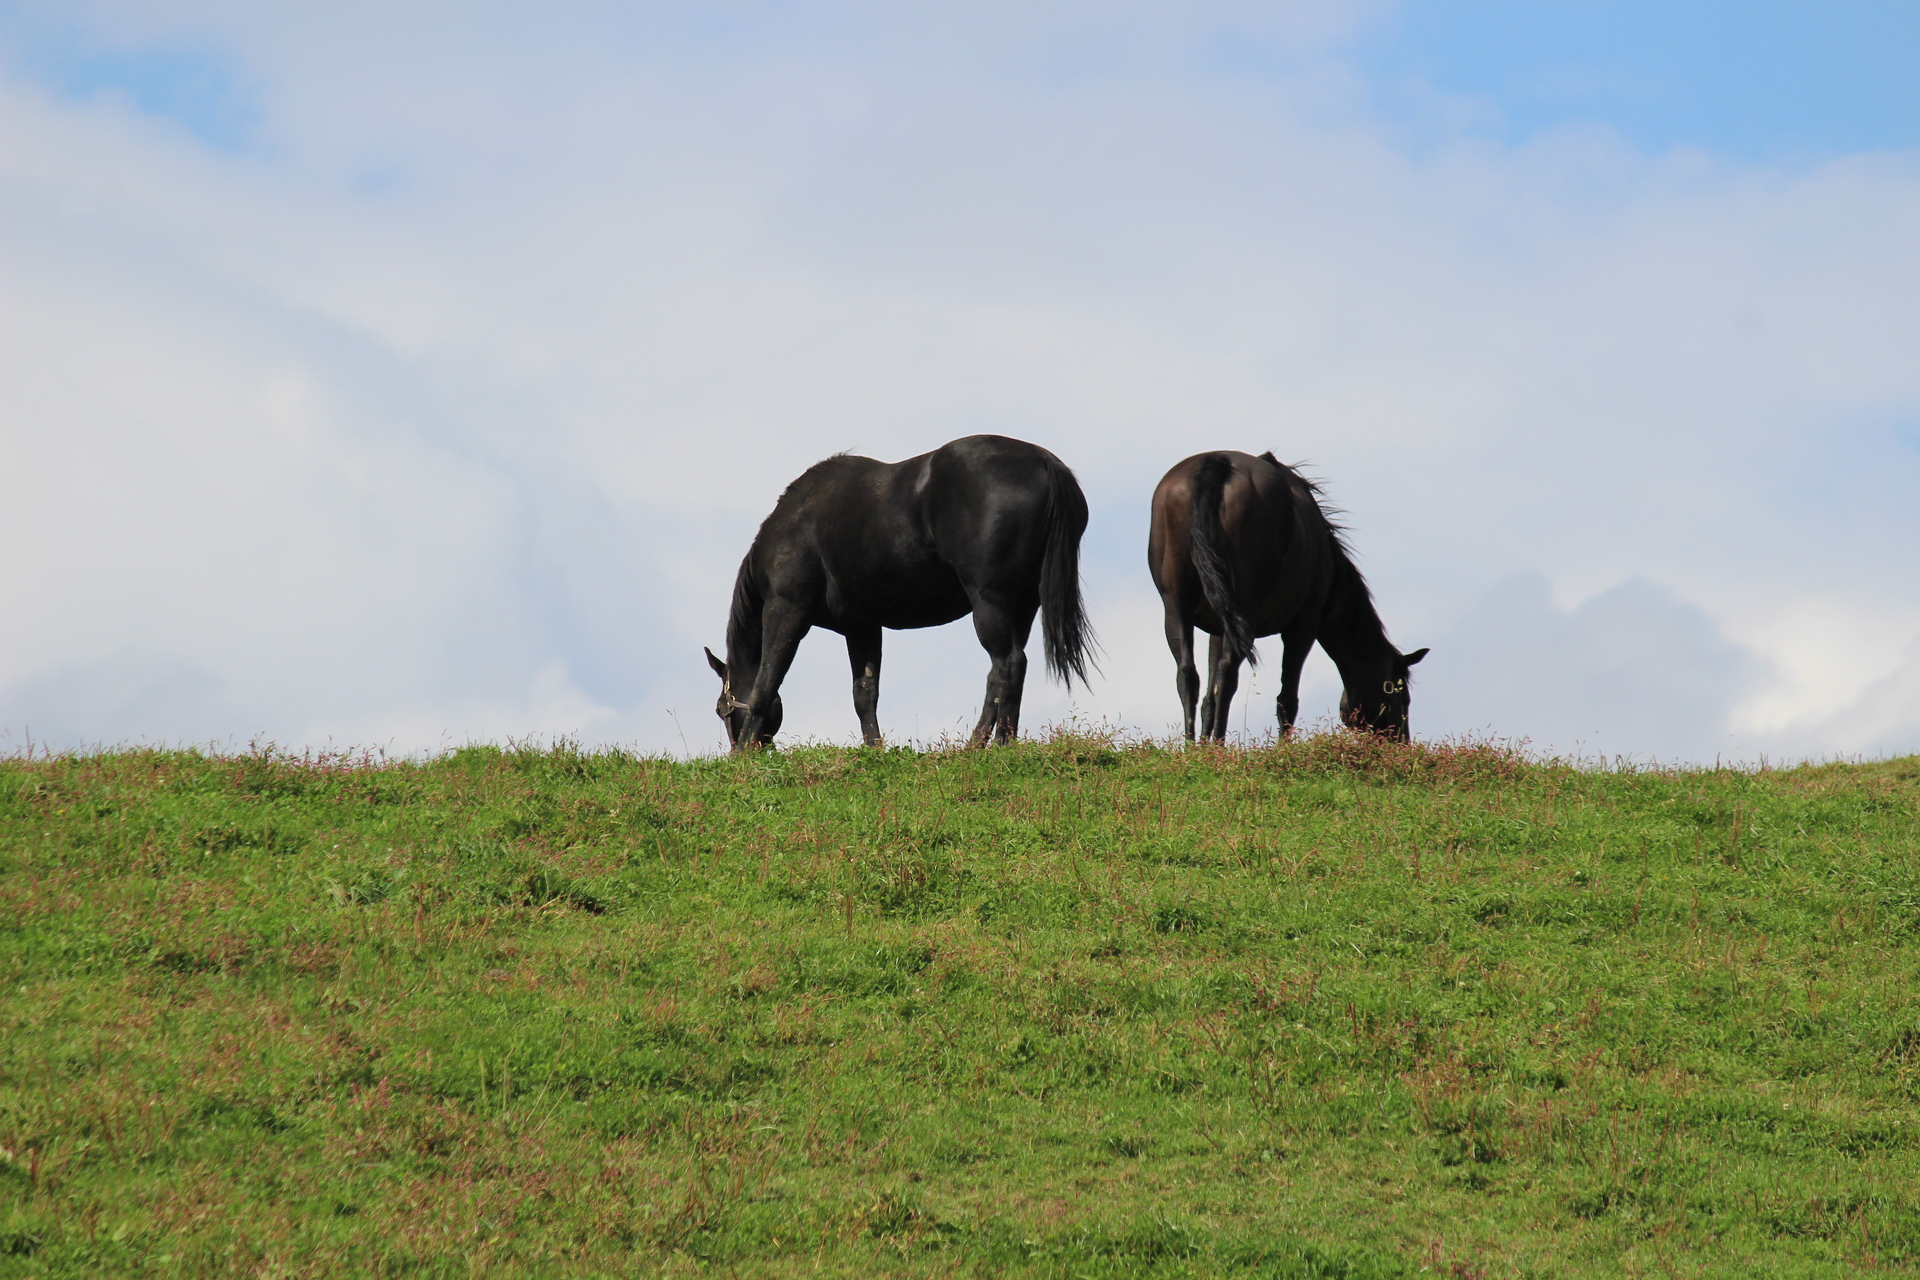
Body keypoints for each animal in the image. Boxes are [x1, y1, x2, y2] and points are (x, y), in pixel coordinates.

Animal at [706, 435, 1098, 752]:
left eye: (721, 710)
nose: (743, 746)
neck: (795, 526)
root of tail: (1044, 463)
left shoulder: (786, 611)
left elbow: (765, 683)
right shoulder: (861, 627)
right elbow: (864, 693)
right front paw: (874, 749)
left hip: (989, 600)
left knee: (1006, 665)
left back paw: (983, 744)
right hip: (1024, 604)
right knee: (1008, 671)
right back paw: (998, 742)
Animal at [1136, 454, 1428, 744]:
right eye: (1399, 694)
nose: (1401, 743)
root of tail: (1217, 462)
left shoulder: (1218, 628)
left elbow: (1210, 693)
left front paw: (1205, 745)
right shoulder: (1304, 626)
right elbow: (1286, 697)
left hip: (1178, 605)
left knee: (1188, 674)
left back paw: (1192, 745)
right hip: (1243, 609)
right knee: (1228, 675)